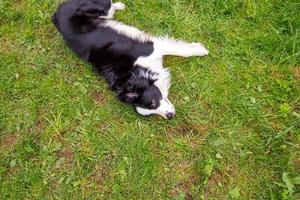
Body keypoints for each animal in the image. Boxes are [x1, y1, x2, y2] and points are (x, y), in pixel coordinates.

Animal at [52, 0, 209, 119]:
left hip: (100, 7)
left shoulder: (153, 47)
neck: (136, 72)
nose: (169, 116)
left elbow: (181, 51)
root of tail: (57, 12)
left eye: (153, 102)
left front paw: (201, 50)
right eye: (151, 112)